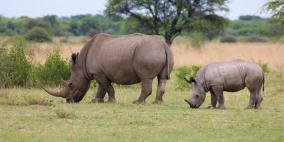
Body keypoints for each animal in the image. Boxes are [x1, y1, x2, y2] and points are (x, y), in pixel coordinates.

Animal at [43, 33, 174, 103]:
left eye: (70, 84)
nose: (69, 101)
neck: (81, 66)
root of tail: (163, 44)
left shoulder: (98, 73)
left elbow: (107, 87)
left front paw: (111, 102)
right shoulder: (99, 73)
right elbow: (102, 88)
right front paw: (96, 101)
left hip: (147, 51)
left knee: (146, 78)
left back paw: (137, 102)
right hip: (157, 51)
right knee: (162, 78)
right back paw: (158, 103)